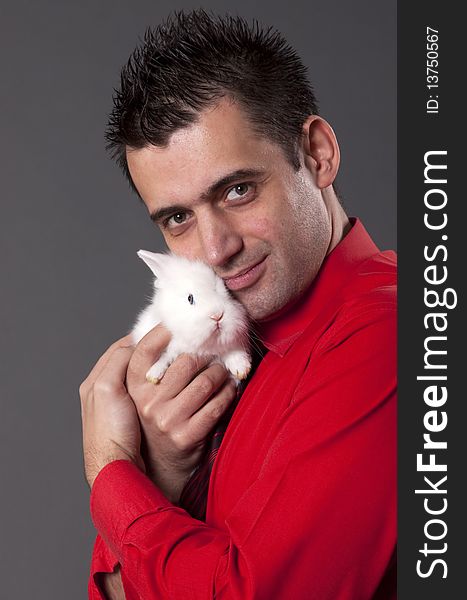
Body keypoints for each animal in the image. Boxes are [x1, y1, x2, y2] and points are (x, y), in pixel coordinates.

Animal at [130, 250, 252, 384]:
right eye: (190, 298)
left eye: (224, 290)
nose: (217, 316)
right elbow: (166, 356)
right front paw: (153, 374)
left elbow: (230, 350)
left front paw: (241, 367)